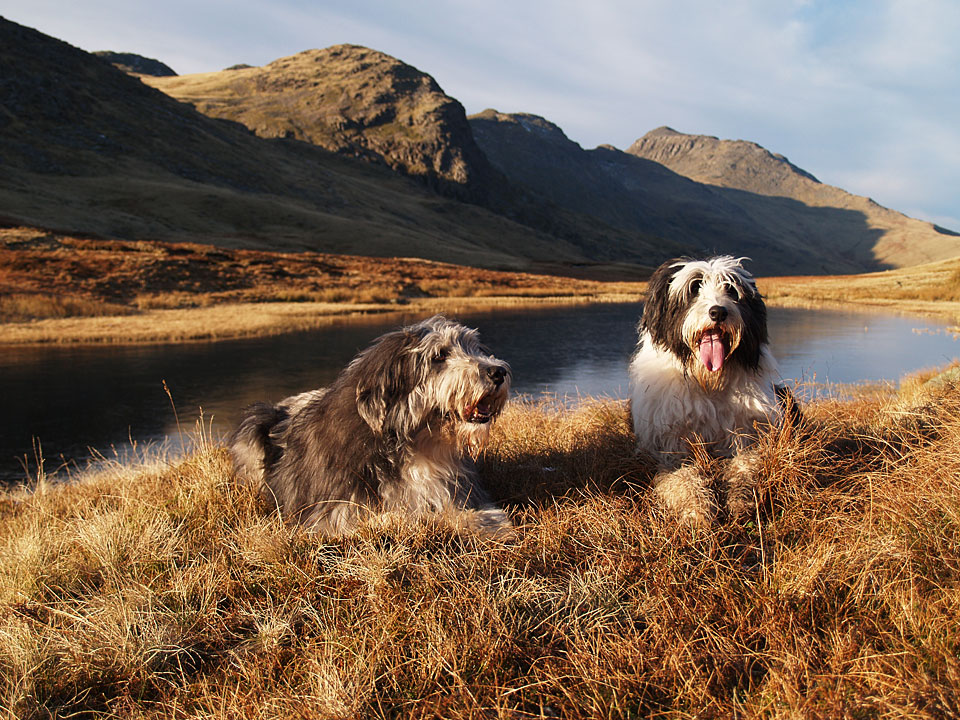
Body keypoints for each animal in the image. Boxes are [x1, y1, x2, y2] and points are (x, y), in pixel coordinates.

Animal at [228, 315, 512, 535]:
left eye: (474, 348)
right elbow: (393, 518)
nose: (498, 372)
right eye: (439, 355)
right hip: (254, 425)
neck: (416, 444)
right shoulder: (335, 511)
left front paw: (484, 523)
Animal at [628, 256, 794, 524]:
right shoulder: (671, 447)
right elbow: (681, 478)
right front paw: (698, 511)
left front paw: (740, 500)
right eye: (695, 287)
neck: (707, 382)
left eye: (731, 289)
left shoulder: (745, 436)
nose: (718, 312)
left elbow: (746, 466)